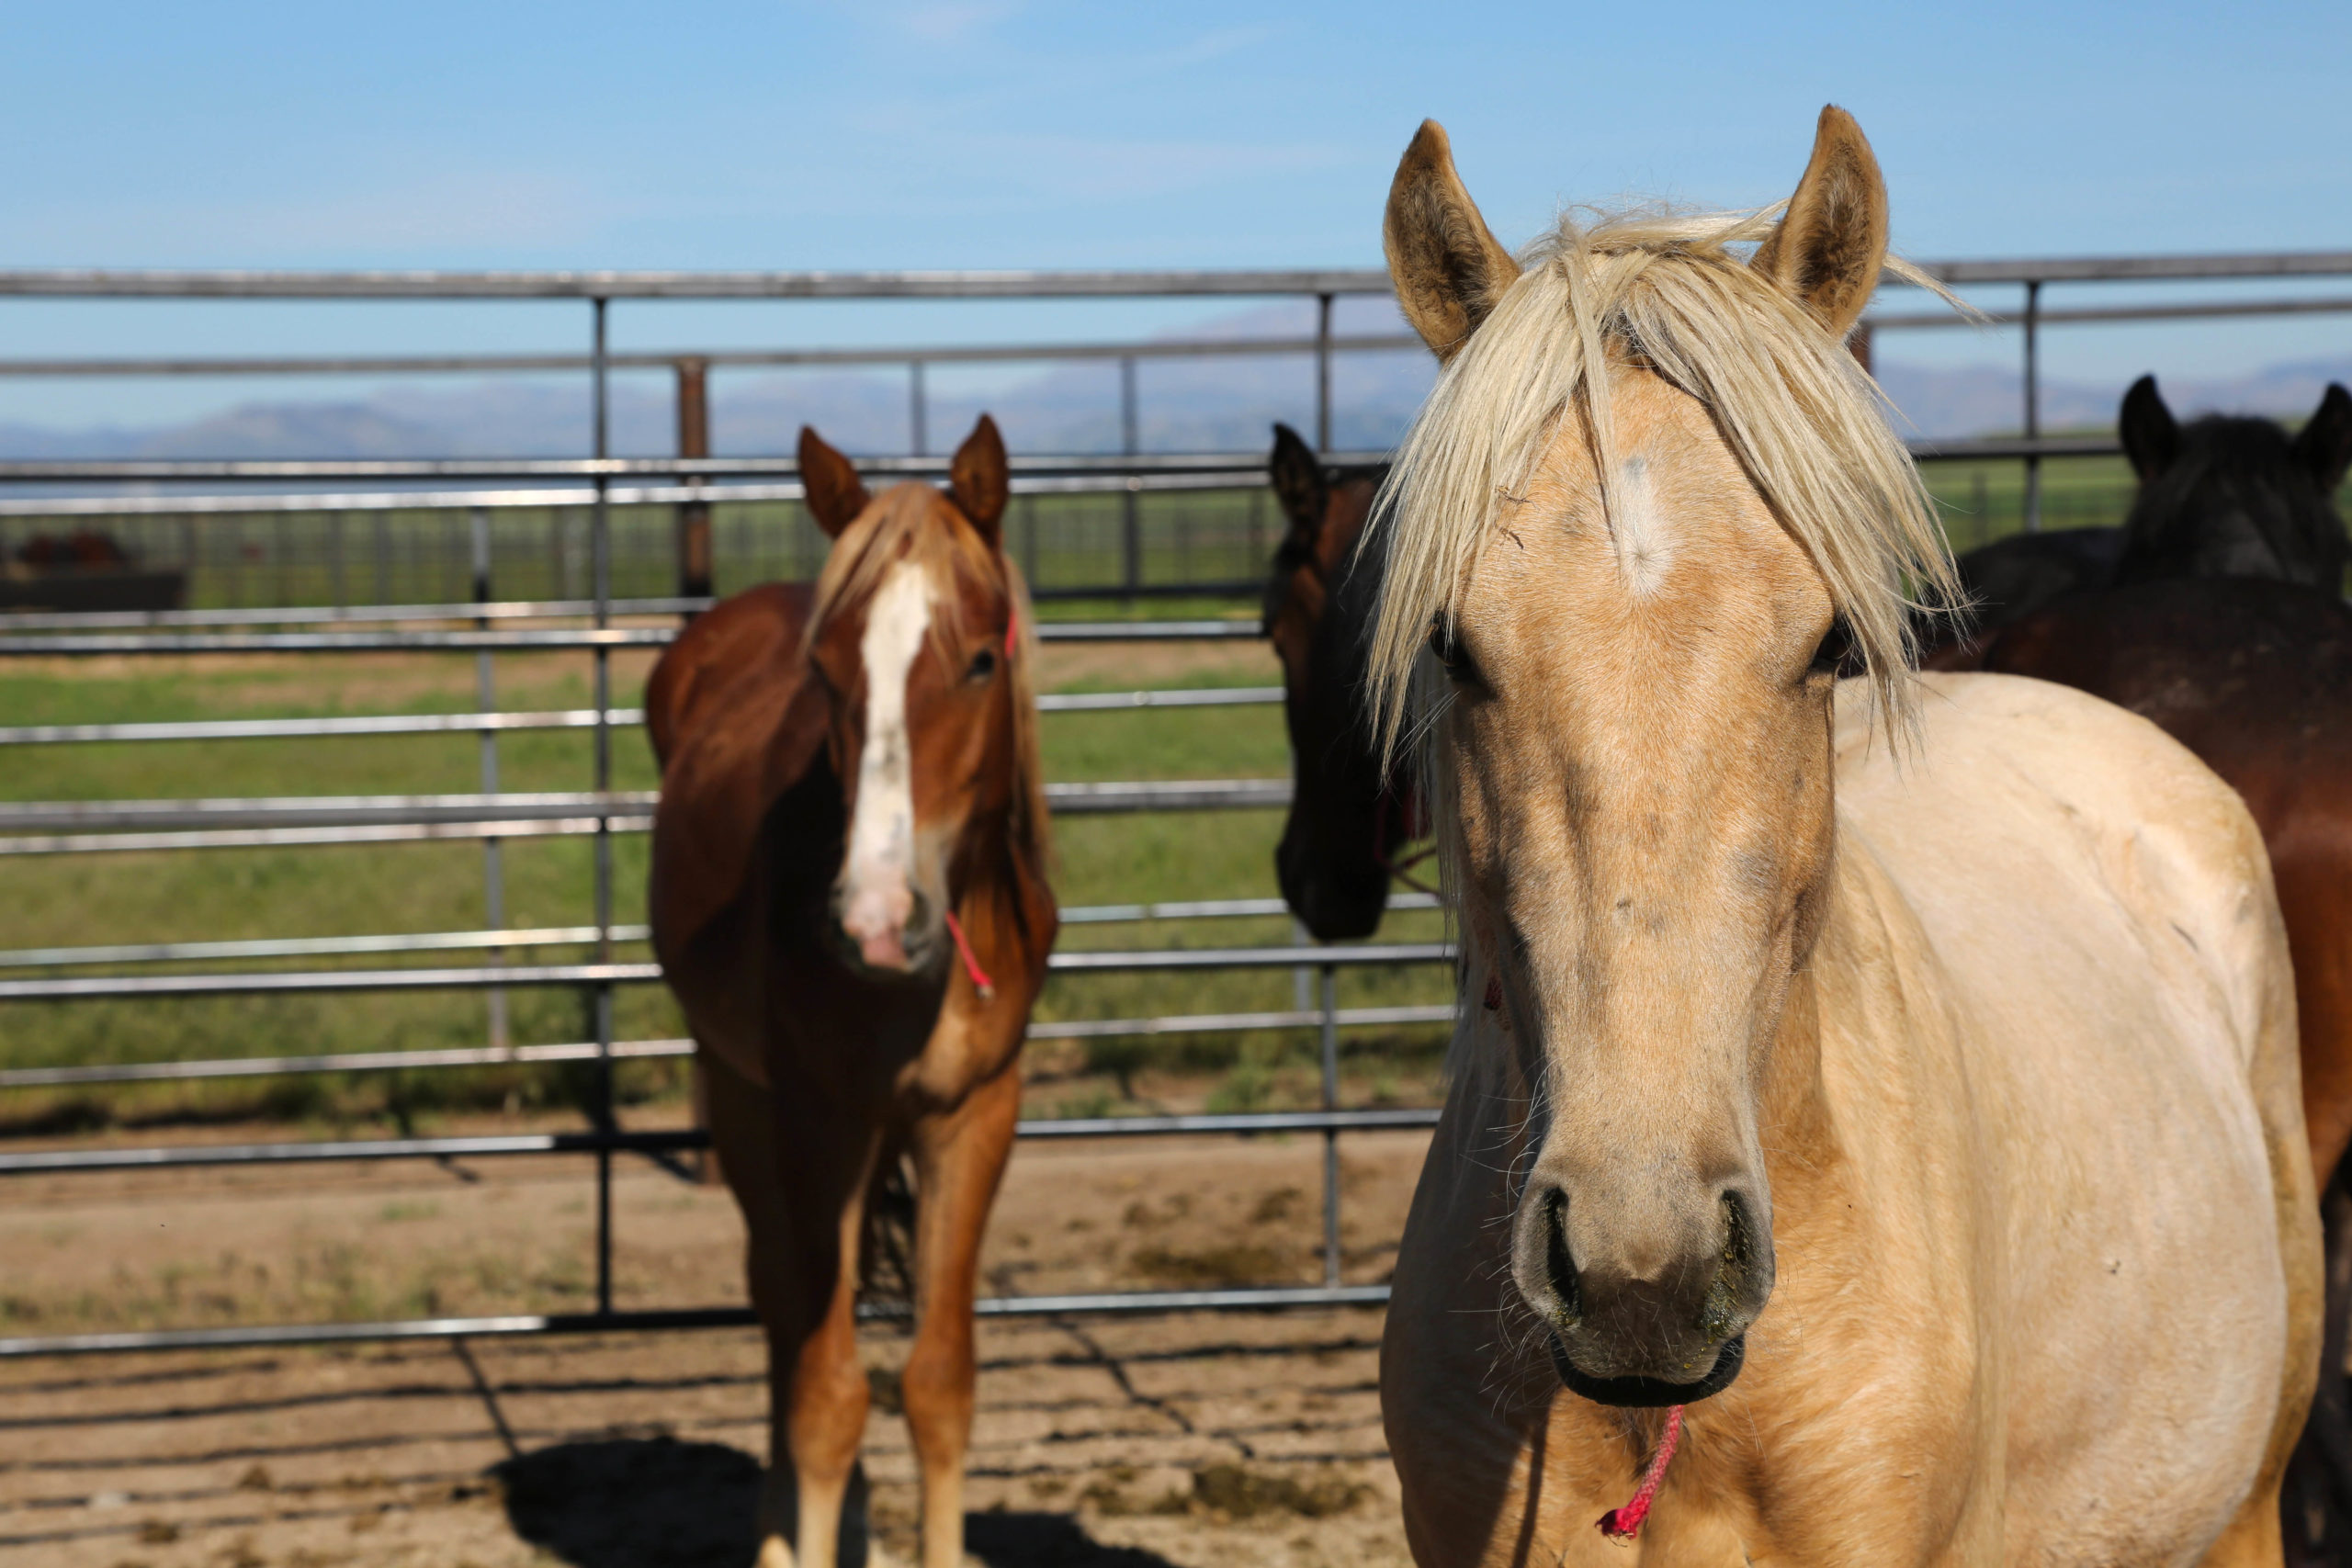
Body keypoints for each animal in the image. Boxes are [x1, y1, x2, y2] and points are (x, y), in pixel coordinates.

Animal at [644, 413, 1048, 1568]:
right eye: (824, 675)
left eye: (976, 660)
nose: (872, 919)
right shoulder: (820, 1120)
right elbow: (825, 1396)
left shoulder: (972, 1116)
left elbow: (938, 1384)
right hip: (743, 1096)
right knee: (783, 1310)